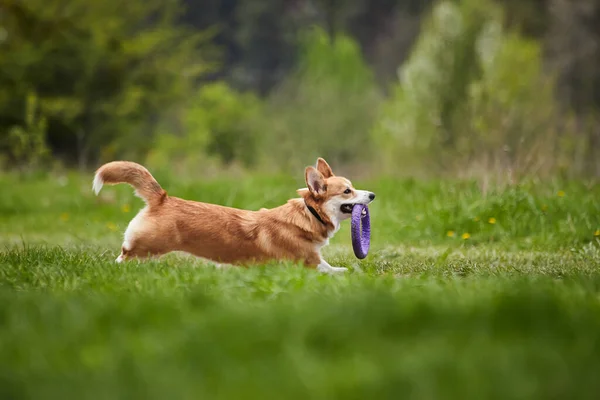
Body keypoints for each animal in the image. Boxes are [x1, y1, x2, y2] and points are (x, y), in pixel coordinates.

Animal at [92, 158, 376, 274]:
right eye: (347, 191)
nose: (372, 195)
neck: (309, 215)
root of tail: (162, 197)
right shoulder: (309, 262)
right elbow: (331, 270)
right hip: (149, 244)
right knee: (124, 254)